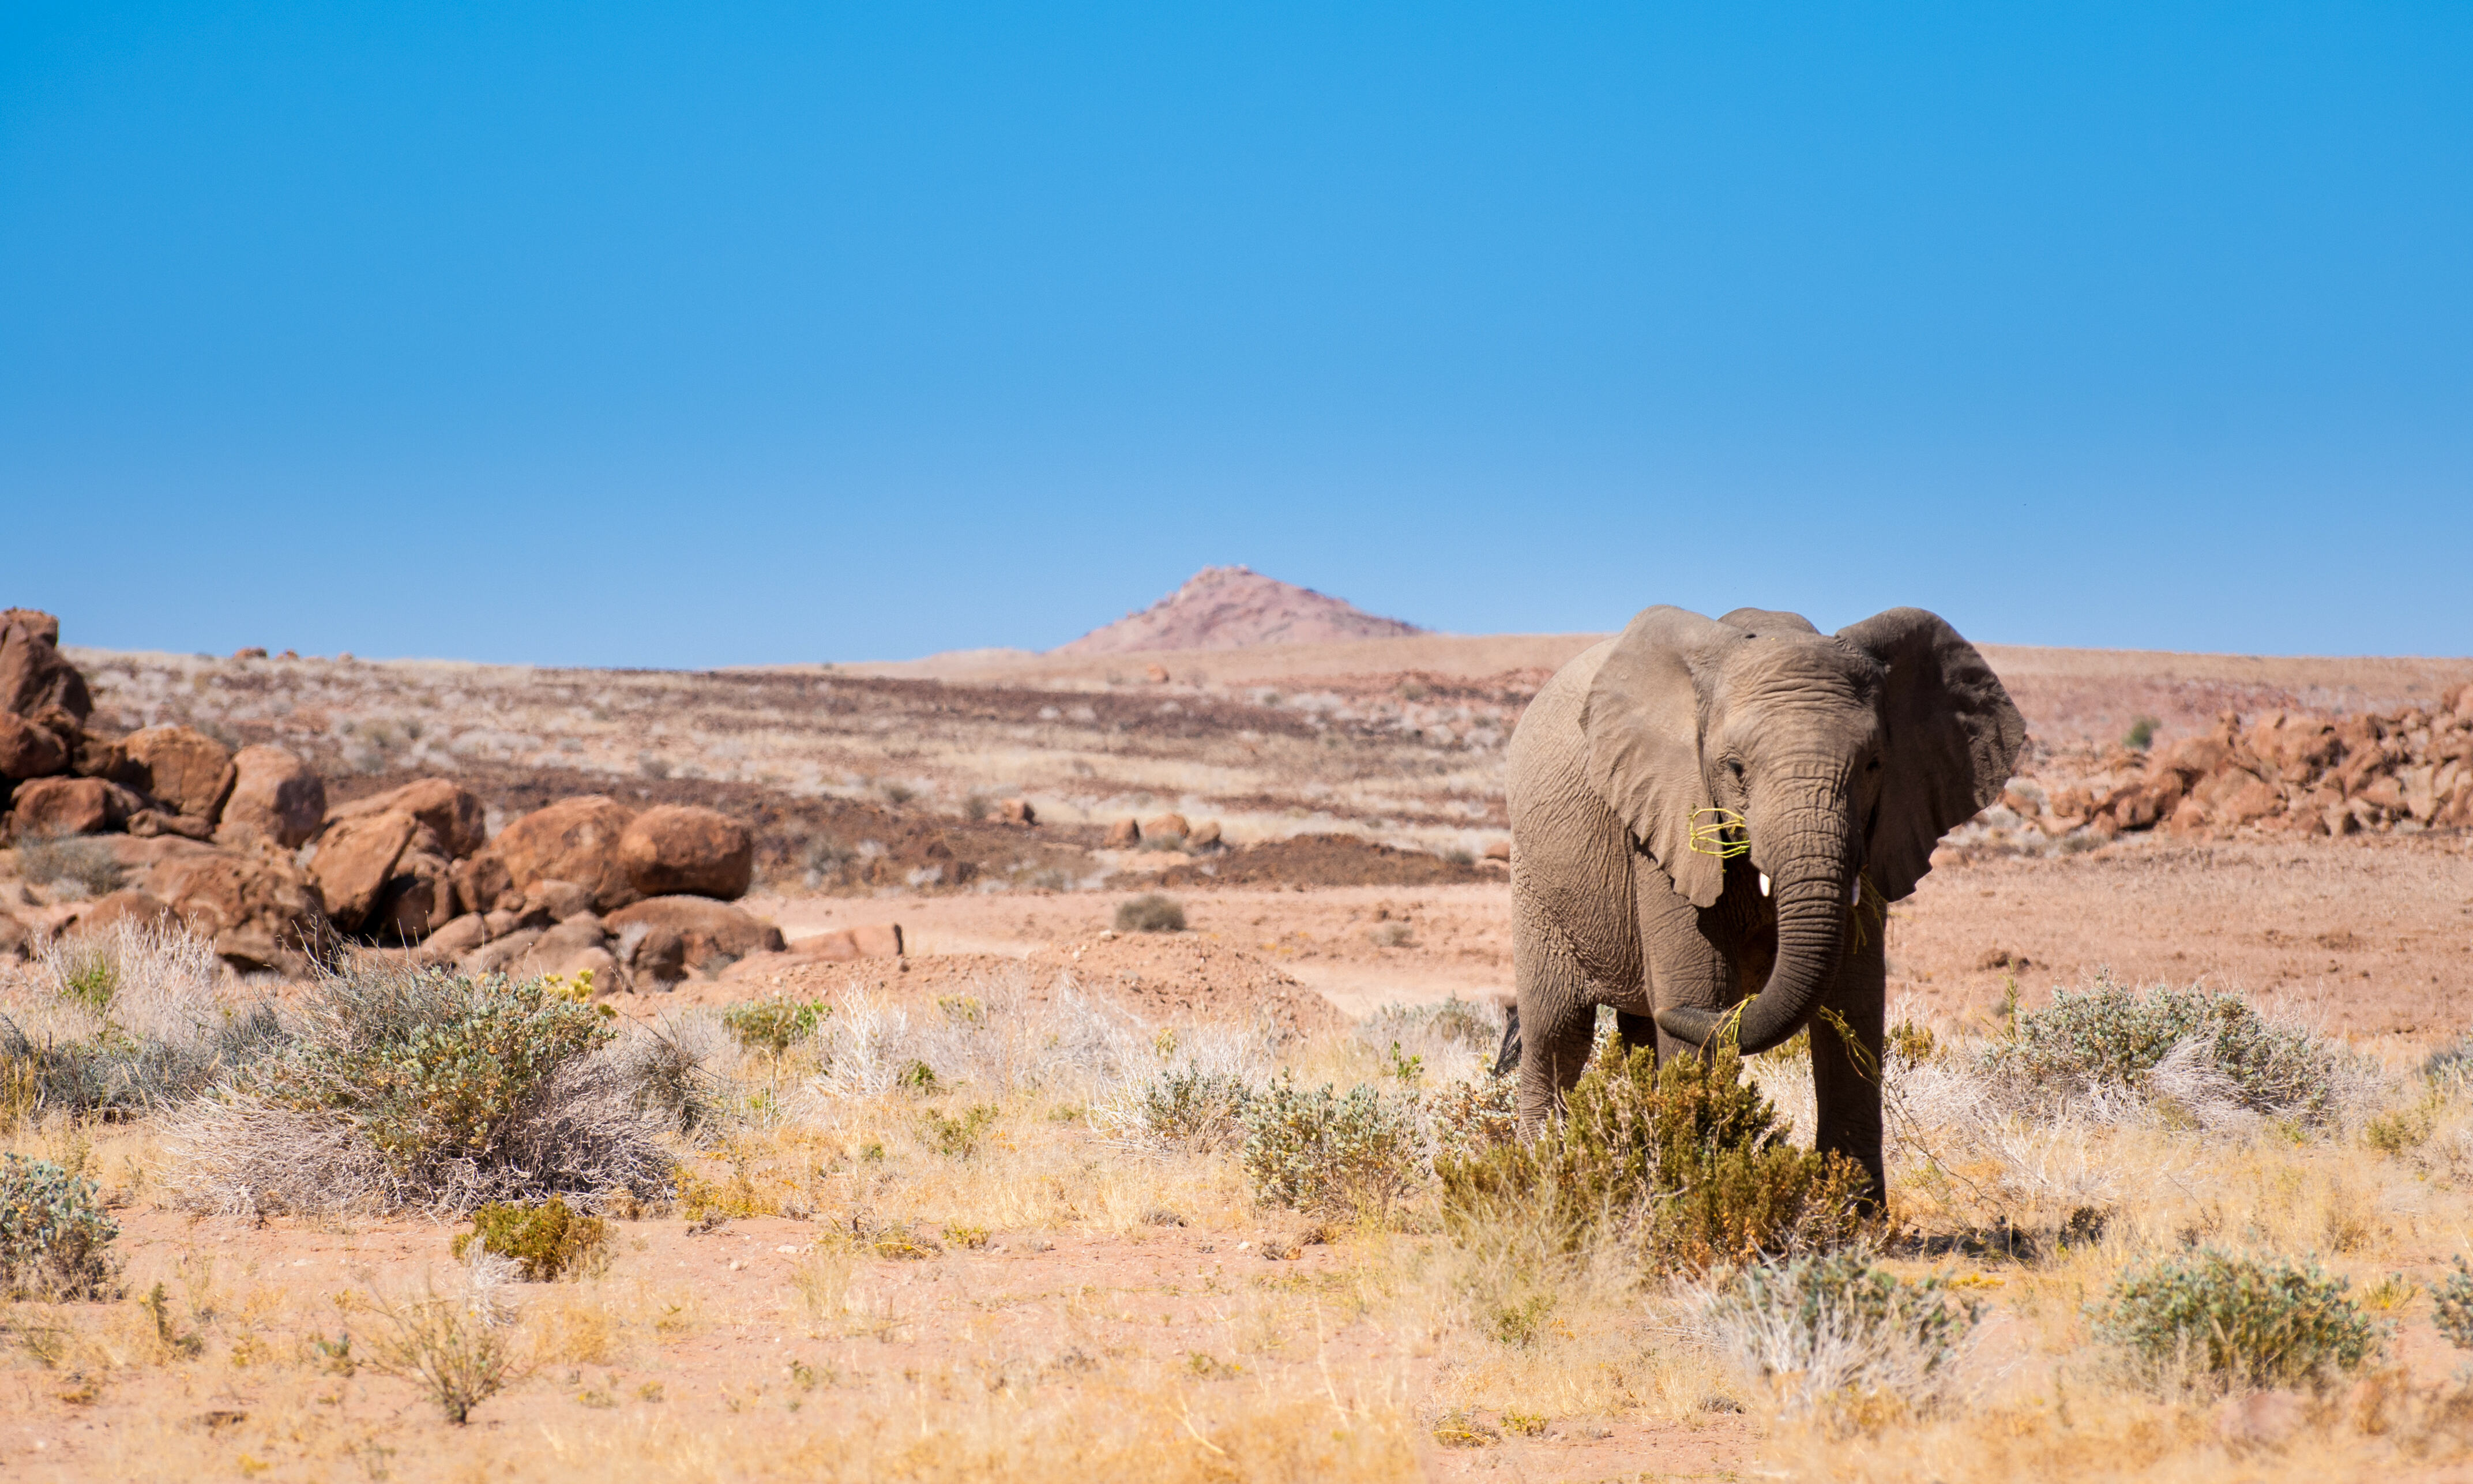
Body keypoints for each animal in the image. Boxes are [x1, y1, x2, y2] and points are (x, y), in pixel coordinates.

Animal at [1493, 603, 2018, 1207]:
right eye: (1736, 768)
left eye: (1873, 764)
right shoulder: (1665, 818)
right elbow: (1697, 989)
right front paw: (1695, 1196)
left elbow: (1855, 1001)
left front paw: (1855, 1221)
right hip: (1535, 880)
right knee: (1559, 1035)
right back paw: (1538, 1186)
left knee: (1636, 1033)